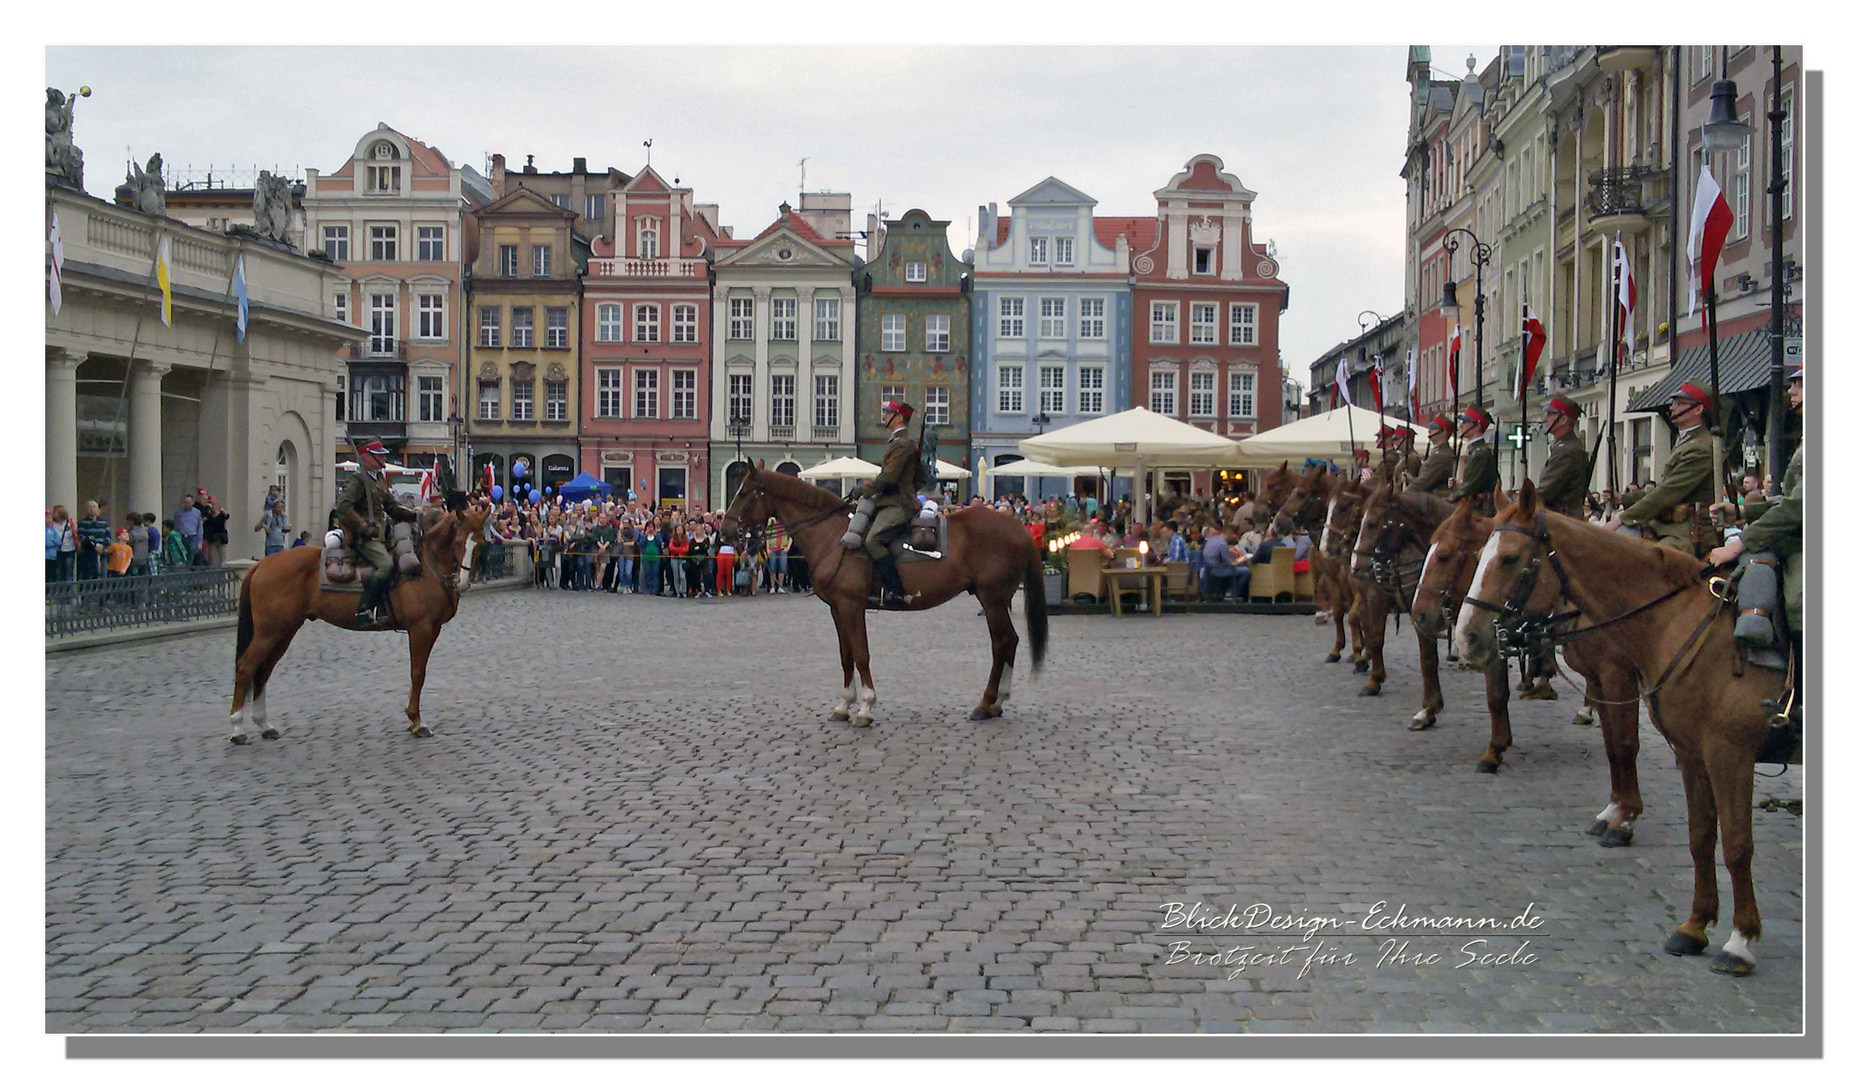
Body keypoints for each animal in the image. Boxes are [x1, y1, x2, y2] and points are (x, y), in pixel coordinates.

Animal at [225, 499, 491, 743]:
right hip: (269, 632)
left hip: (284, 631)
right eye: (458, 540)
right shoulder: (421, 629)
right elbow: (418, 672)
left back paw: (264, 724)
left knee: (263, 670)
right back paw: (237, 728)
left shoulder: (433, 629)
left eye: (480, 542)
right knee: (246, 667)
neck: (426, 566)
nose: (463, 581)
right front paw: (417, 721)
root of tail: (261, 564)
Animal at [717, 462, 1042, 724]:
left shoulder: (851, 605)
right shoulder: (837, 608)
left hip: (993, 598)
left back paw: (986, 703)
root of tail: (1017, 528)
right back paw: (997, 702)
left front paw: (865, 707)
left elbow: (861, 654)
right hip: (995, 599)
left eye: (743, 493)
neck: (832, 534)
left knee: (1002, 642)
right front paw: (844, 704)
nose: (724, 532)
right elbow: (846, 654)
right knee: (1009, 642)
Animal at [1457, 484, 1789, 976]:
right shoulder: (1691, 752)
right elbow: (1700, 836)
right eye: (1479, 555)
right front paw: (1695, 927)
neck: (1682, 625)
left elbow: (1736, 844)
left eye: (1511, 558)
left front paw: (1739, 941)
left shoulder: (1729, 754)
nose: (1467, 637)